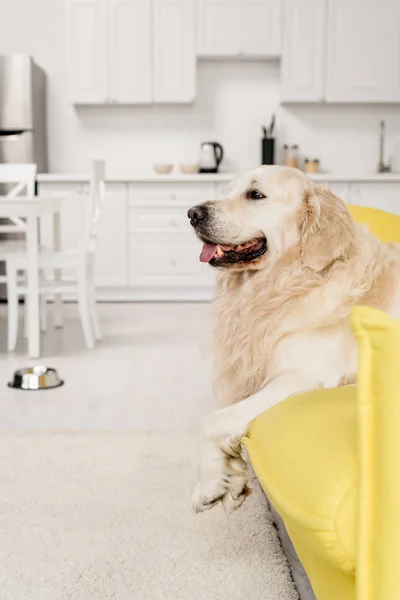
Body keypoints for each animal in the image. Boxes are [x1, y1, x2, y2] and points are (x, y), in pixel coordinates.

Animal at [188, 166, 400, 512]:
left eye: (255, 194)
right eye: (228, 190)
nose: (192, 213)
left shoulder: (304, 377)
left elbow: (213, 421)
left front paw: (209, 484)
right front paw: (232, 477)